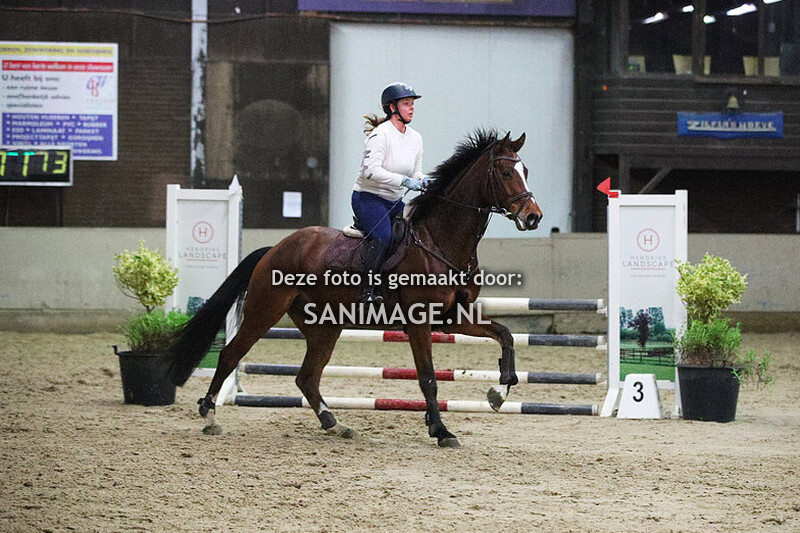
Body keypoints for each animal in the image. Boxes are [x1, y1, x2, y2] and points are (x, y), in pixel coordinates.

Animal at [165, 129, 543, 447]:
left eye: (526, 169)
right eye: (506, 173)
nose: (533, 217)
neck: (440, 240)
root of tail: (275, 248)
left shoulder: (451, 318)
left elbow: (505, 334)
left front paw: (499, 392)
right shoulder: (419, 322)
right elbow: (428, 378)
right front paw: (440, 430)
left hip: (324, 327)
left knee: (307, 377)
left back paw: (335, 424)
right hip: (265, 311)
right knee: (231, 354)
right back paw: (209, 414)